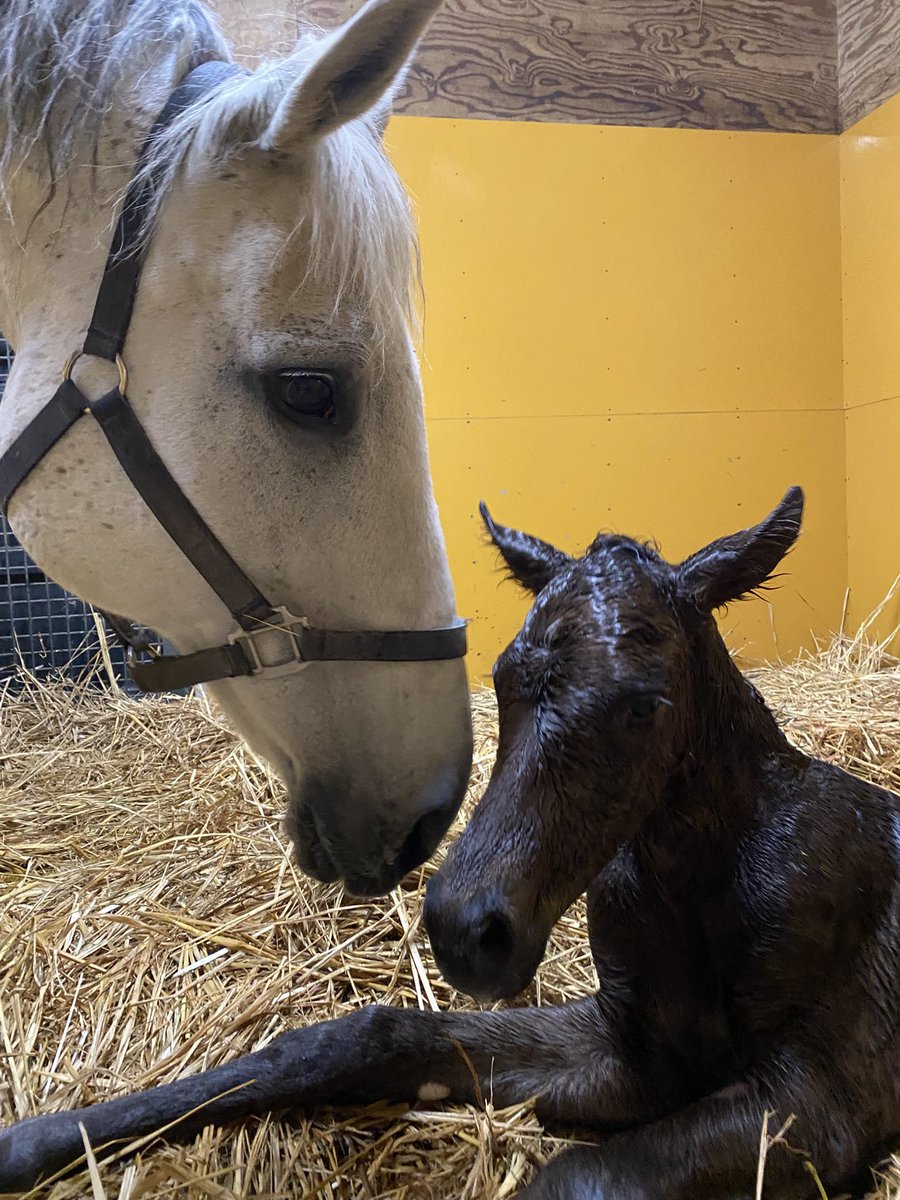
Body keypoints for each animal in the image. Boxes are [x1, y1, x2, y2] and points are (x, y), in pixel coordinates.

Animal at [4, 486, 899, 1198]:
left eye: (646, 704)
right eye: (501, 679)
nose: (467, 931)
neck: (702, 887)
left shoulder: (822, 1098)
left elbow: (581, 1178)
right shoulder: (629, 1048)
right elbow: (359, 1040)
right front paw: (37, 1140)